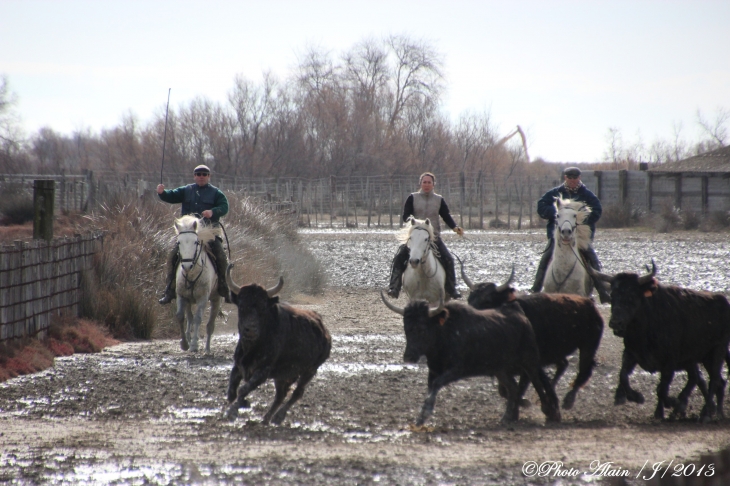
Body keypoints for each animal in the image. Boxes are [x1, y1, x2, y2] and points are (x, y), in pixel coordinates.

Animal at [172, 215, 220, 356]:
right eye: (179, 242)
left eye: (195, 242)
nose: (187, 266)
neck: (192, 274)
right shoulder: (181, 296)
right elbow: (180, 316)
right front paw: (184, 344)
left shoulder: (202, 298)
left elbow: (198, 318)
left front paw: (194, 345)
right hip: (189, 299)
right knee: (189, 317)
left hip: (216, 299)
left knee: (210, 325)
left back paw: (207, 349)